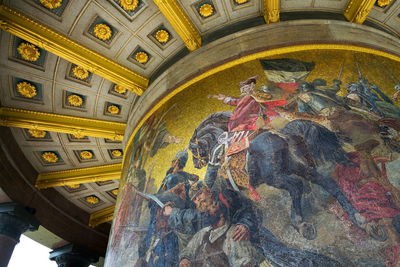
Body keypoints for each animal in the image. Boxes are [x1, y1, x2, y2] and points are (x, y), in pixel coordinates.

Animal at [189, 111, 368, 241]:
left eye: (192, 149)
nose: (196, 164)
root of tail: (281, 134)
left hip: (275, 178)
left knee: (297, 187)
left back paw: (301, 225)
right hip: (300, 168)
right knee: (329, 183)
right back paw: (359, 219)